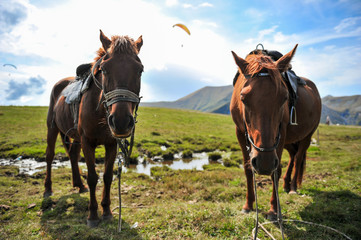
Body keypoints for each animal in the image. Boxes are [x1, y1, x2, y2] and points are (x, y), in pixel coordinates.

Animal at [43, 30, 142, 227]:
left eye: (140, 70)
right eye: (104, 69)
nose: (120, 122)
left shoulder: (111, 144)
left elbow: (107, 176)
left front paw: (107, 211)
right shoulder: (87, 142)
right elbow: (92, 177)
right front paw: (93, 215)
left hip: (74, 137)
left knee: (73, 155)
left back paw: (79, 185)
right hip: (53, 128)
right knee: (50, 156)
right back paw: (48, 189)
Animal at [229, 44, 320, 218]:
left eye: (284, 97)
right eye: (243, 98)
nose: (264, 163)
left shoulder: (281, 132)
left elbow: (275, 170)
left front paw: (273, 209)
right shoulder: (239, 132)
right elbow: (248, 169)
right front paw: (248, 205)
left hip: (306, 136)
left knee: (298, 157)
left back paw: (292, 188)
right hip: (289, 140)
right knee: (293, 155)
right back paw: (286, 185)